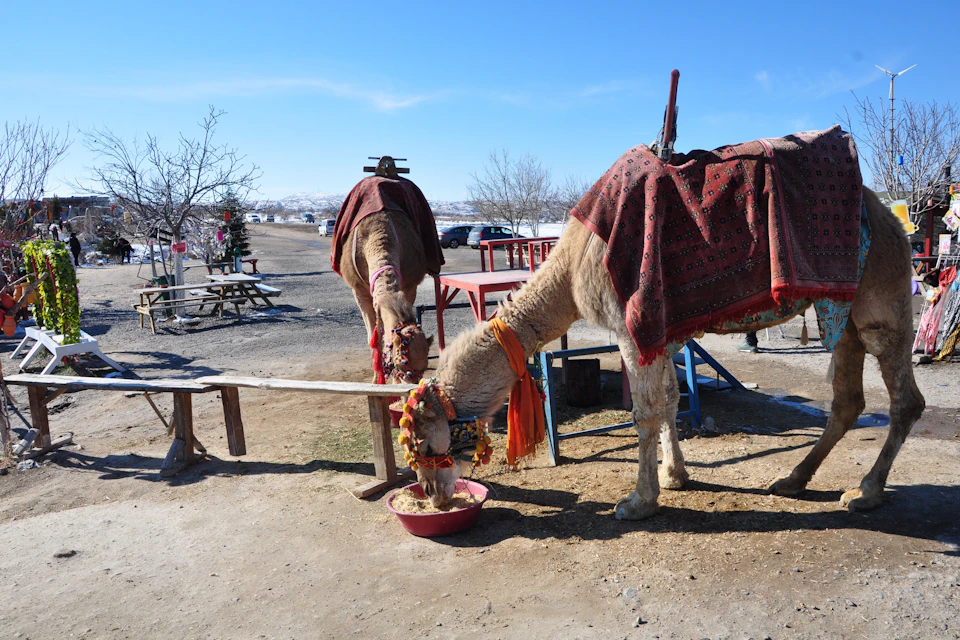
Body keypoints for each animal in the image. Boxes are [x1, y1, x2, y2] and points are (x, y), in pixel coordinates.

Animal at [405, 183, 925, 520]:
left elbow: (644, 412)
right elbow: (672, 401)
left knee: (905, 398)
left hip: (881, 296)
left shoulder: (630, 329)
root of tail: (897, 224)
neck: (569, 272)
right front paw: (676, 475)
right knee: (848, 400)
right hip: (844, 311)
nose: (431, 494)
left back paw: (865, 493)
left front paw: (638, 502)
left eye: (423, 441)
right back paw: (793, 481)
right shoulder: (662, 333)